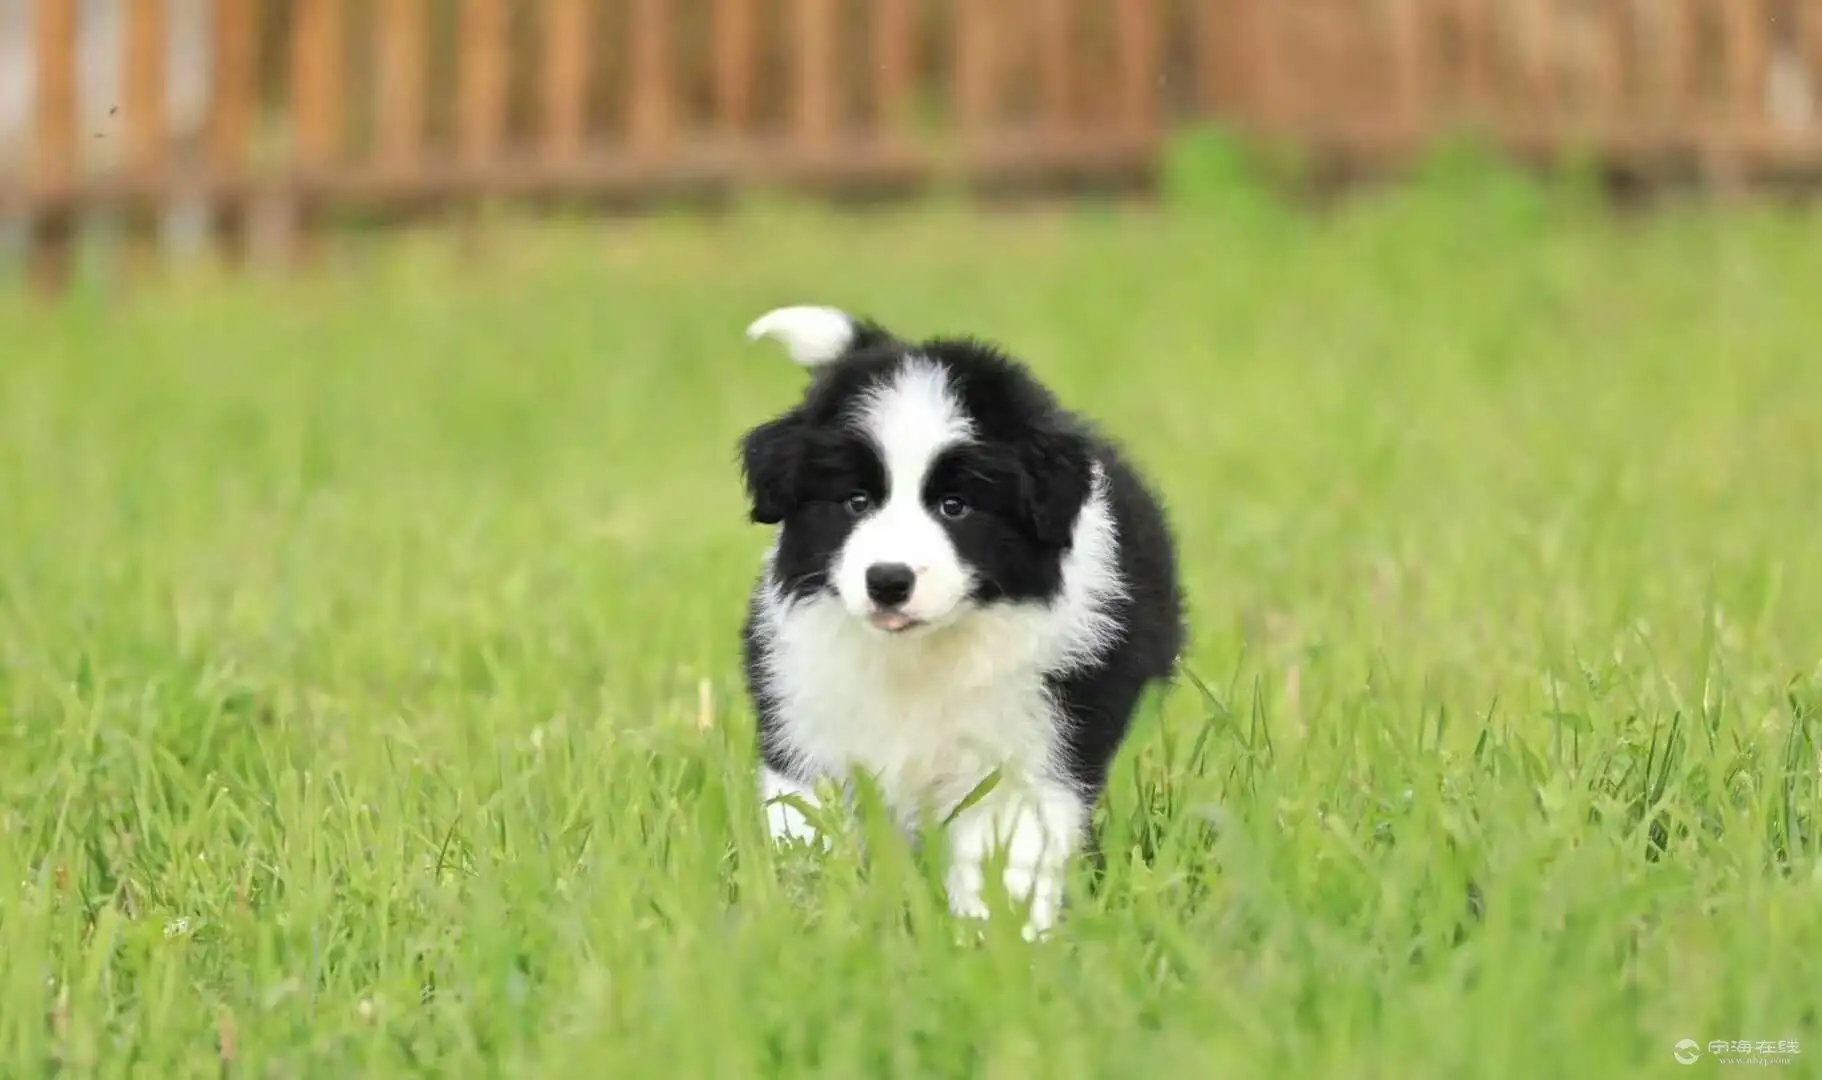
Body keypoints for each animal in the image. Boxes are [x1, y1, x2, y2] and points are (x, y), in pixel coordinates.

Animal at [732, 302, 1187, 932]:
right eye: (855, 502)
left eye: (956, 506)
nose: (888, 581)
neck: (921, 655)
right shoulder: (809, 728)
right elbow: (810, 831)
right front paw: (815, 921)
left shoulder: (1028, 750)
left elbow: (1007, 853)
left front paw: (999, 941)